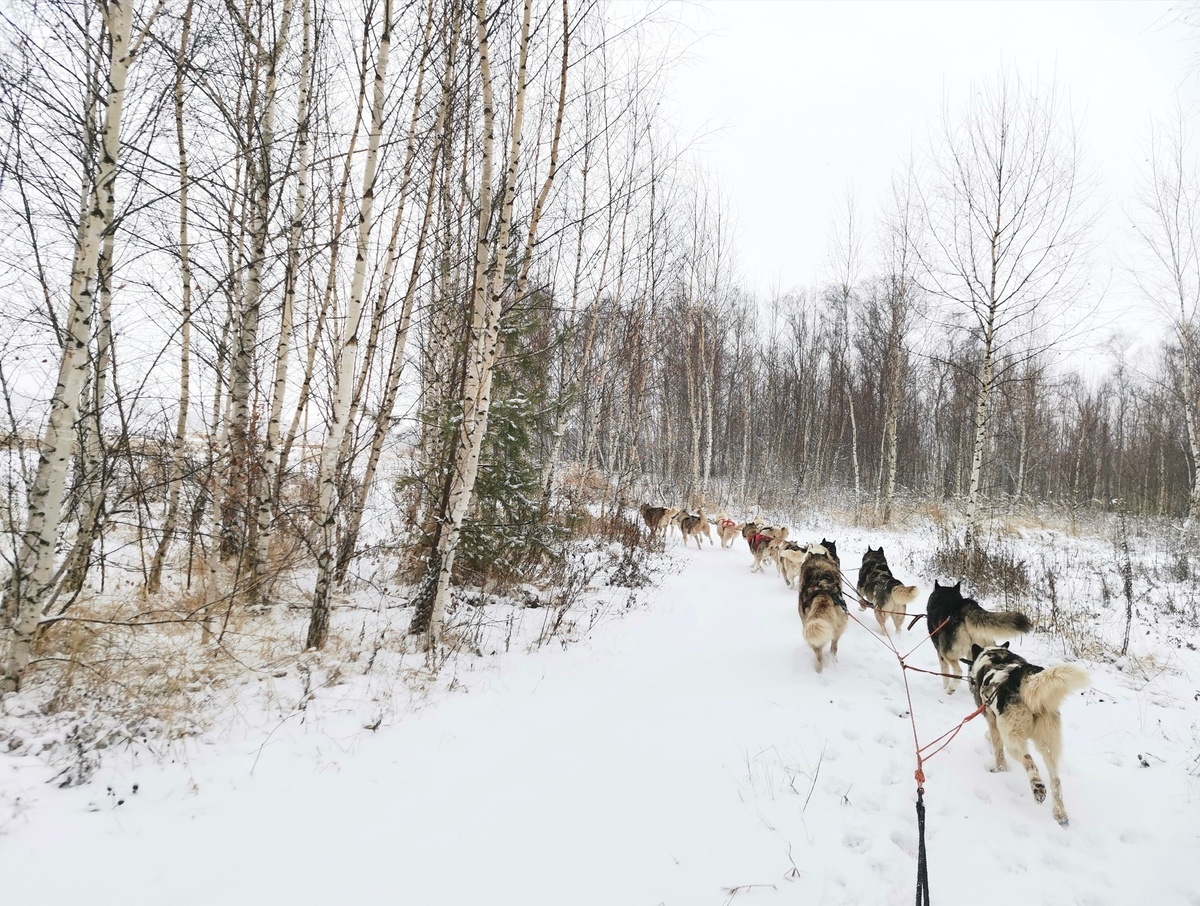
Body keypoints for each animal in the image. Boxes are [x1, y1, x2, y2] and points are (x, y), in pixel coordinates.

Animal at [796, 544, 854, 672]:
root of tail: (822, 591)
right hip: (838, 626)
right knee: (834, 647)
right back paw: (833, 659)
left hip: (809, 626)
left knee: (819, 655)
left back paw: (819, 669)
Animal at [964, 643, 1089, 830]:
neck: (995, 656)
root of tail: (1021, 677)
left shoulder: (993, 722)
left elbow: (997, 749)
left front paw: (1000, 770)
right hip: (1048, 745)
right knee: (1055, 780)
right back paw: (1060, 814)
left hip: (1012, 739)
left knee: (1029, 761)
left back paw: (1038, 788)